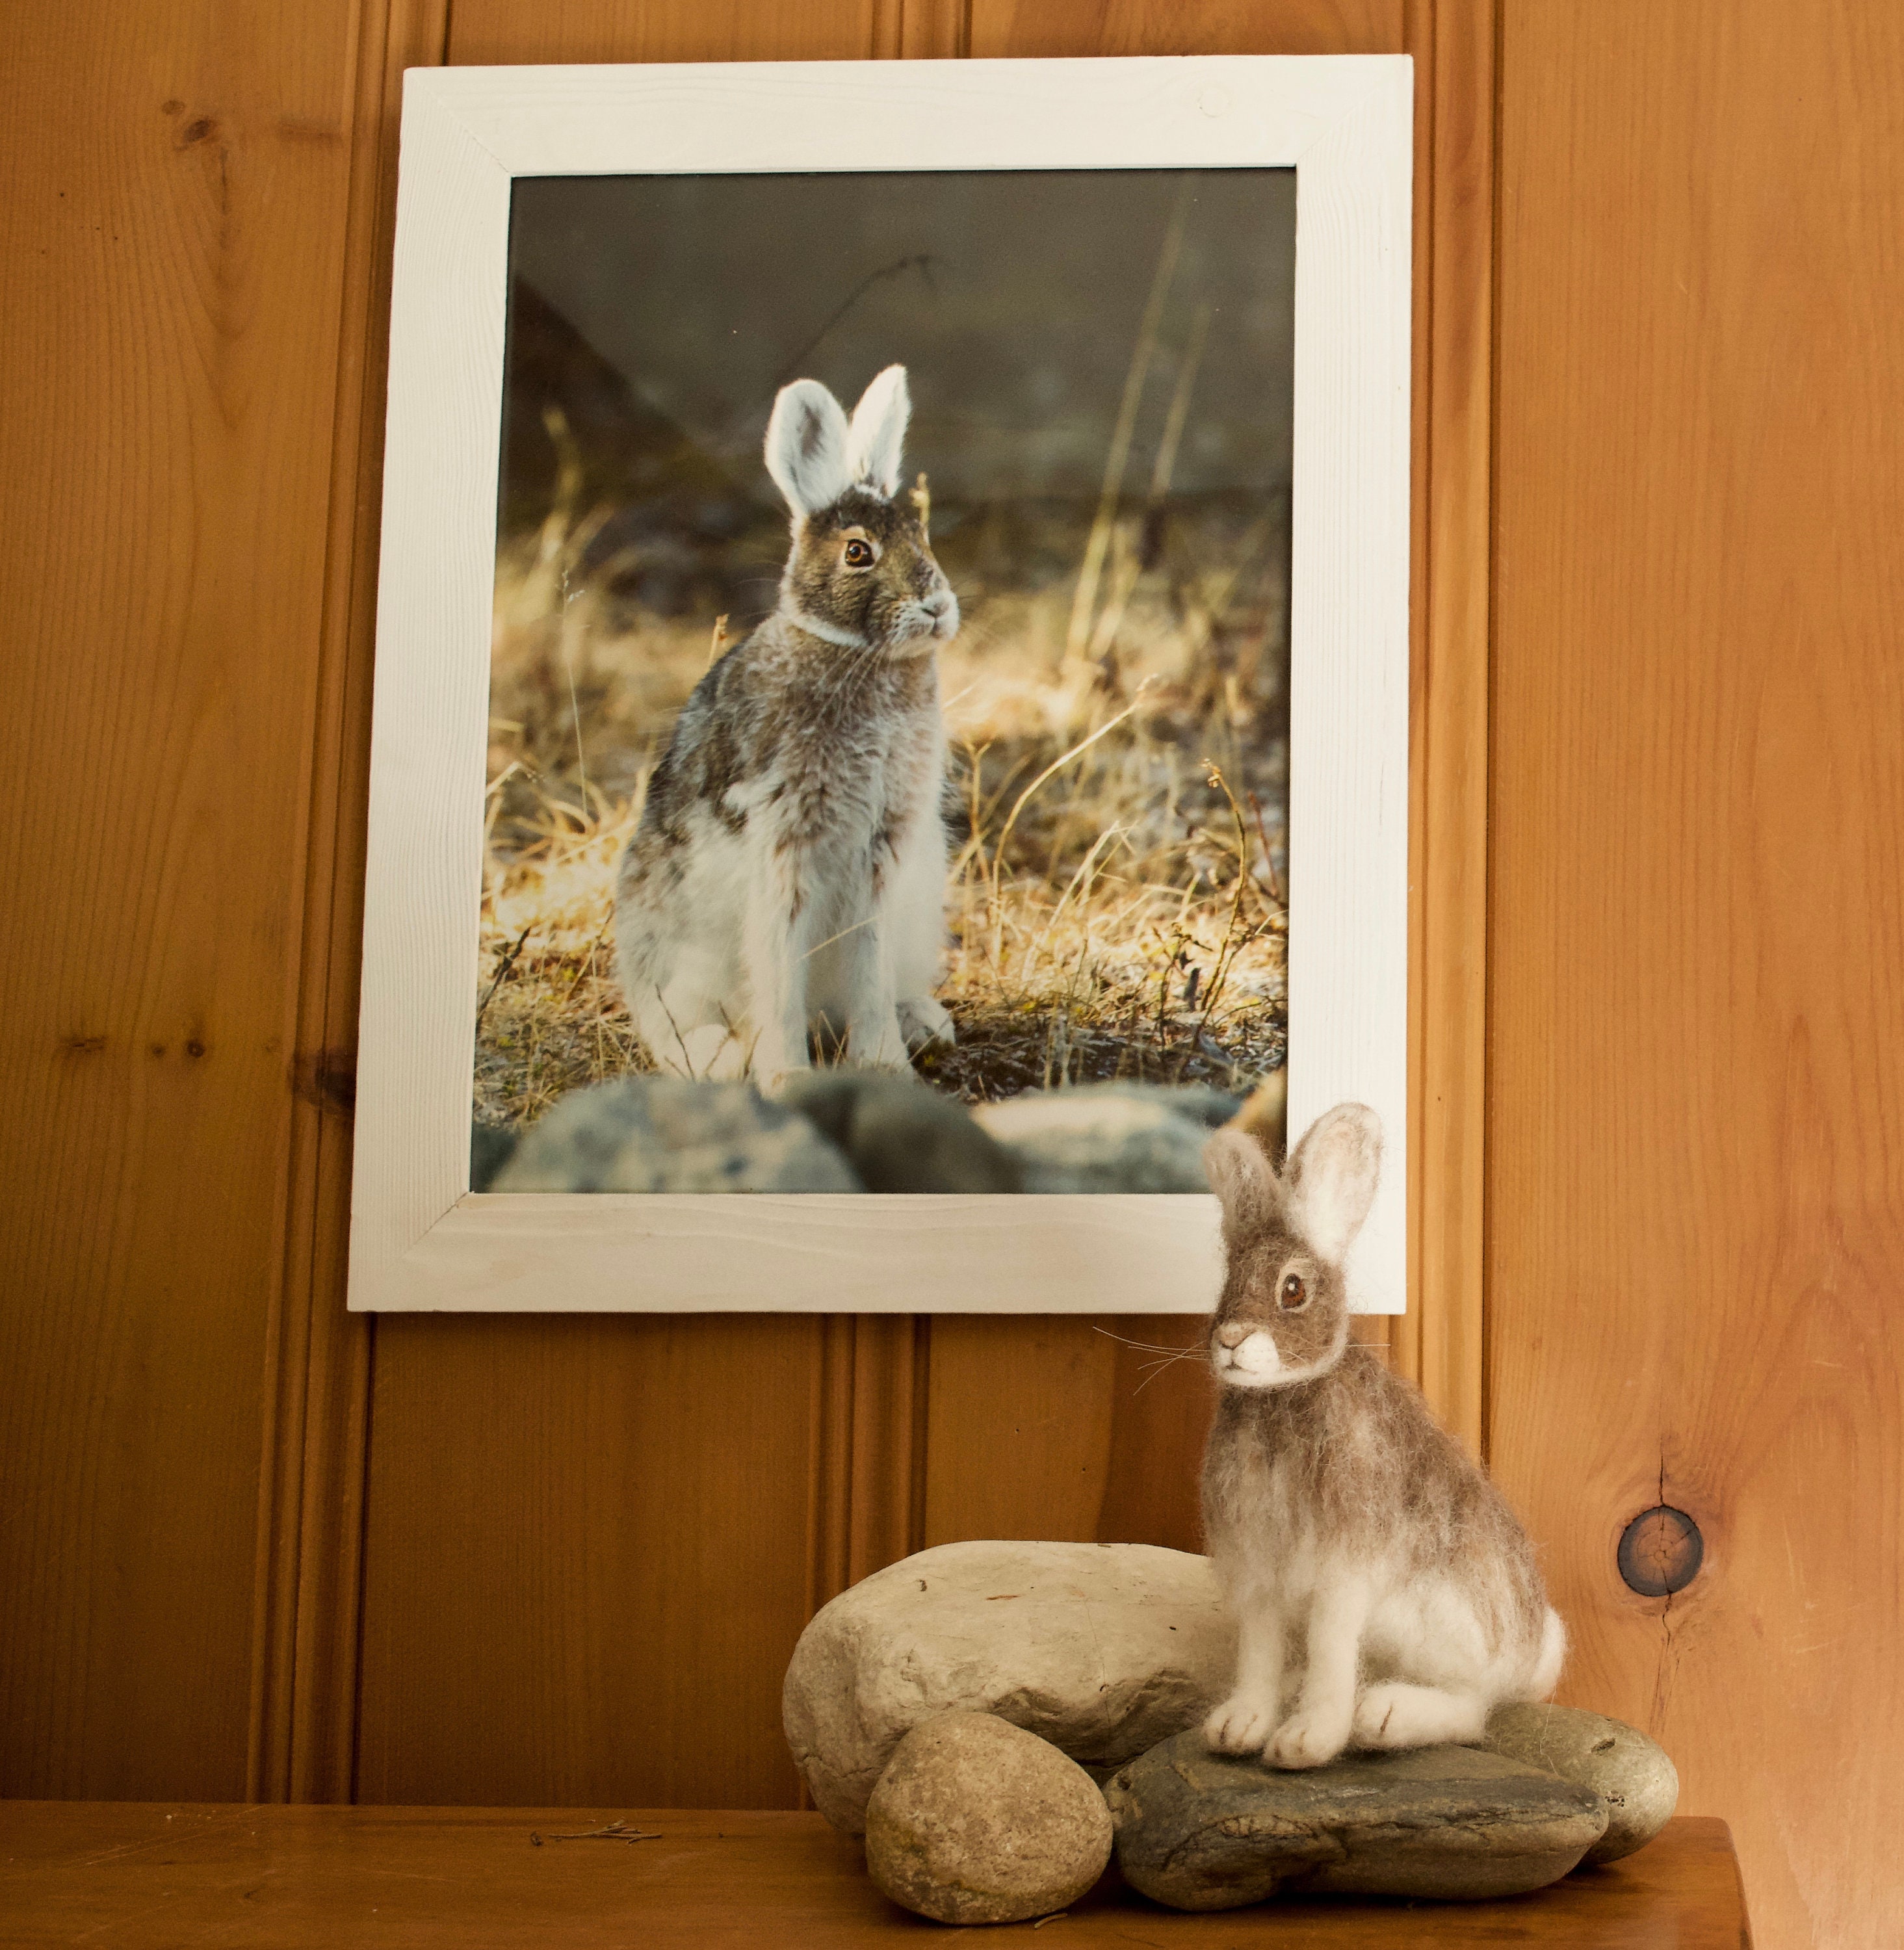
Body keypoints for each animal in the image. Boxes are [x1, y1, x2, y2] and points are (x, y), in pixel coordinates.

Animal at [614, 365, 959, 1086]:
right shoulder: (784, 843)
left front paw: (883, 1067)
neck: (854, 654)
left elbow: (868, 967)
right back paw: (715, 1056)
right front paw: (786, 1078)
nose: (937, 608)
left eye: (921, 537)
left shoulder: (880, 859)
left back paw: (924, 1025)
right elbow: (778, 973)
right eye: (857, 552)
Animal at [1198, 1103, 1566, 1770]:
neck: (1282, 1401)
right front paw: (1238, 1729)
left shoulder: (1342, 1574)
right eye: (1227, 1282)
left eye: (1293, 1289)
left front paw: (1304, 1741)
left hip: (1442, 1625)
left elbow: (1330, 1648)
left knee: (1473, 1708)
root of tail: (1534, 1652)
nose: (1231, 1339)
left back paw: (1383, 1714)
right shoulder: (1260, 1578)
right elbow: (1257, 1653)